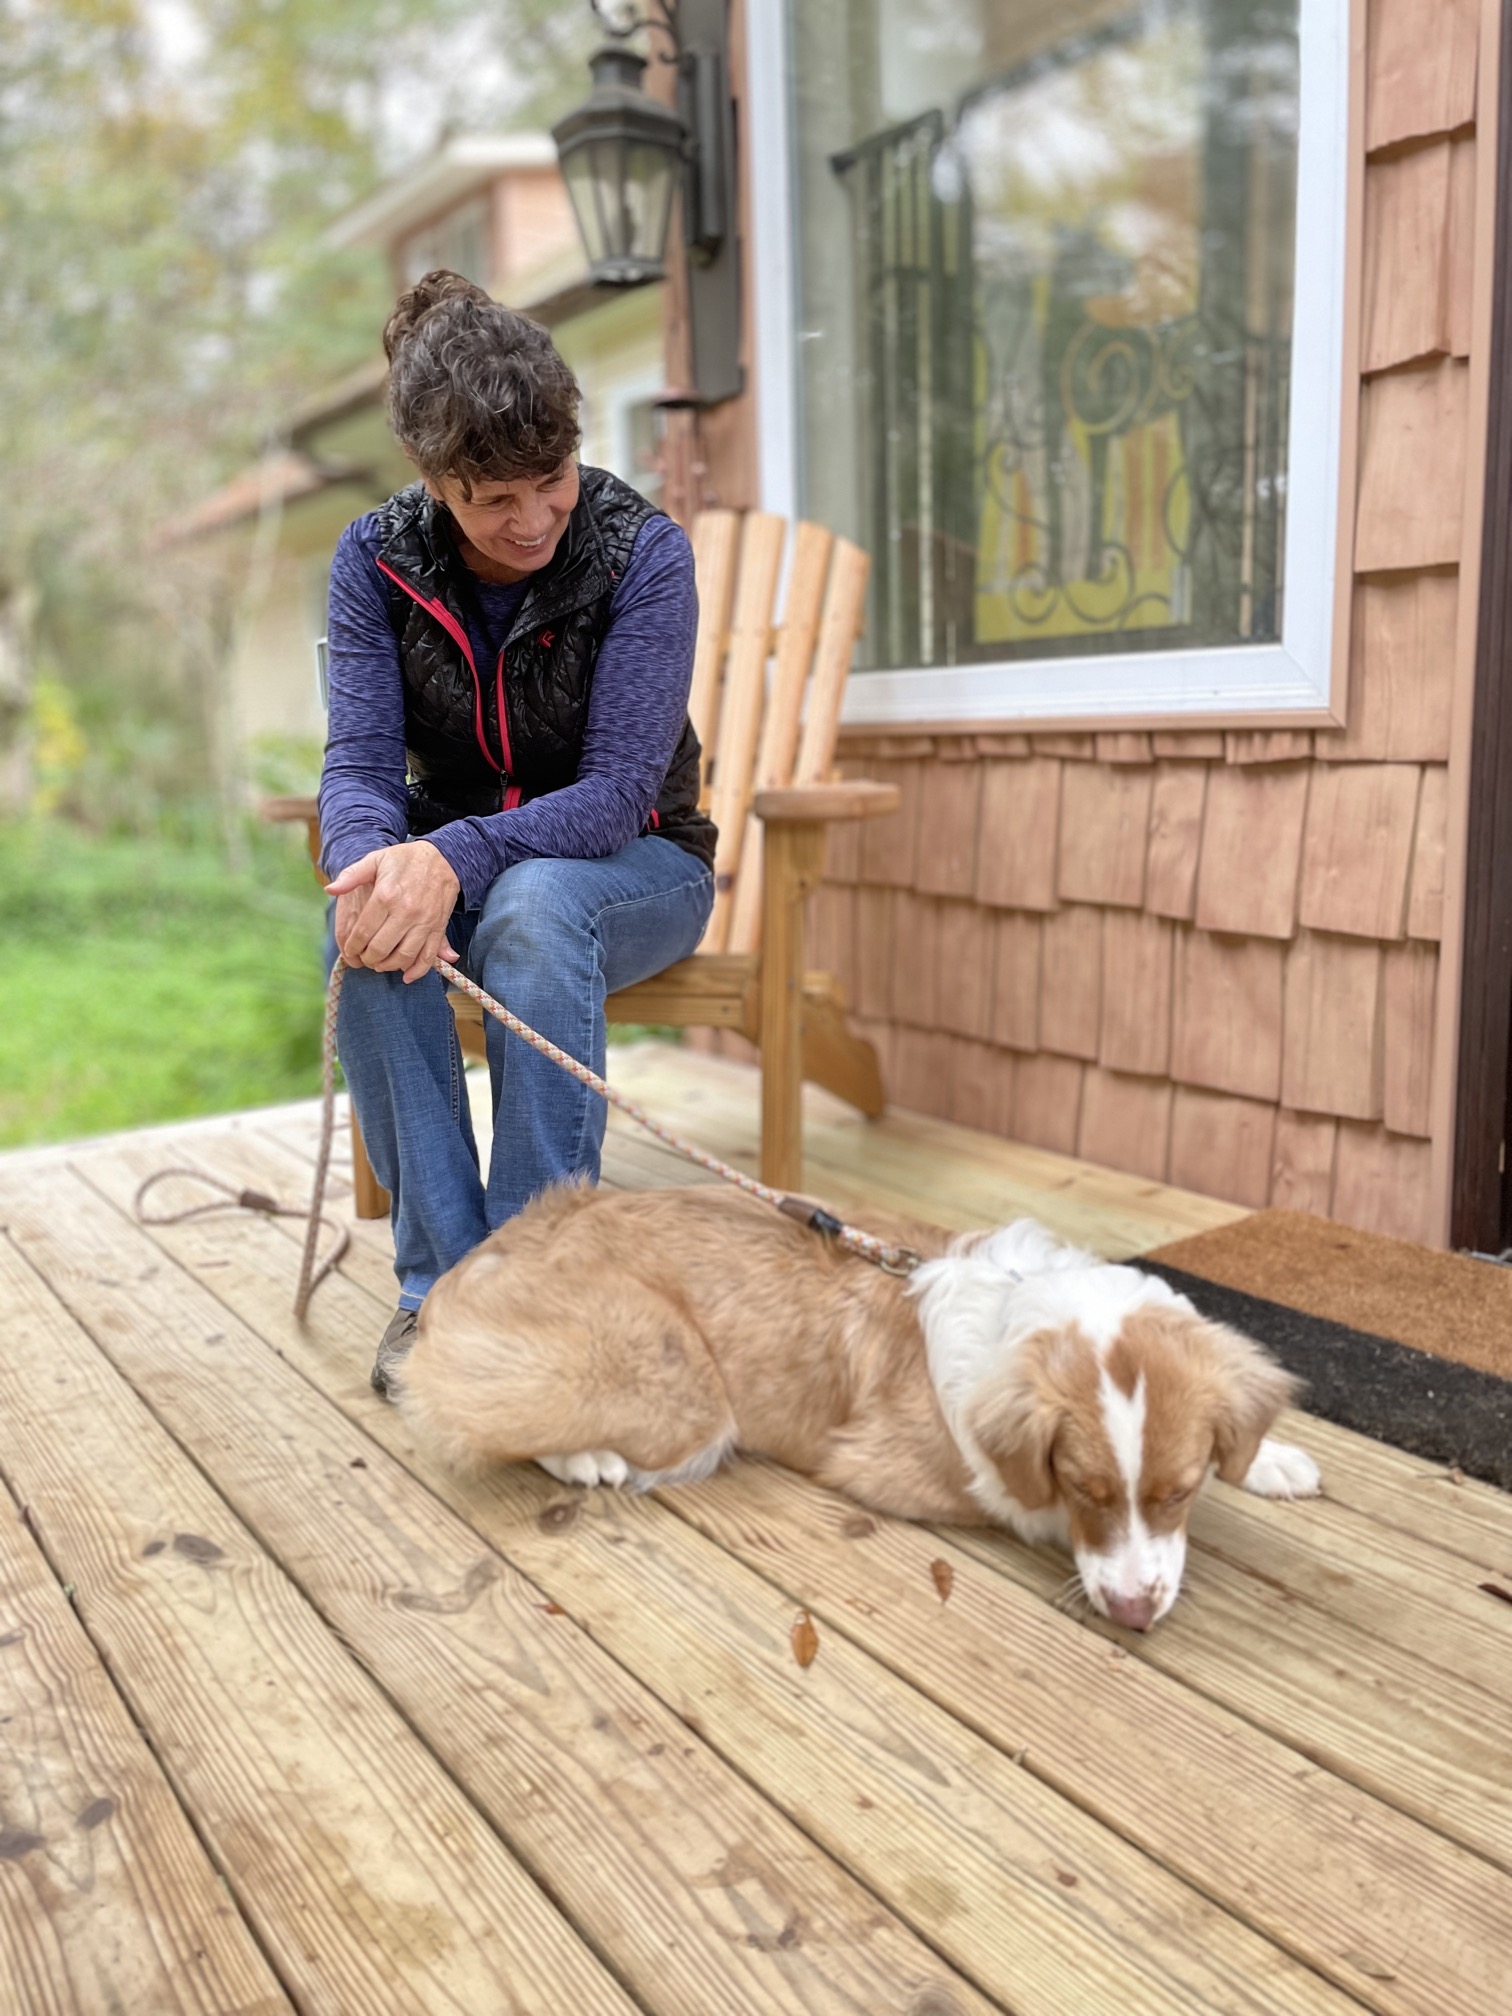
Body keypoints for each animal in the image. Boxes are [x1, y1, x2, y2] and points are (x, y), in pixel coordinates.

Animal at [397, 1185, 1322, 1628]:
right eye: (1082, 1488)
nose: (1134, 1615)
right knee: (473, 1400)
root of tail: (480, 1251)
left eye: (1180, 1491)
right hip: (680, 1388)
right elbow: (1023, 1499)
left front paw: (1270, 1460)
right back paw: (587, 1457)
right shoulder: (906, 1465)